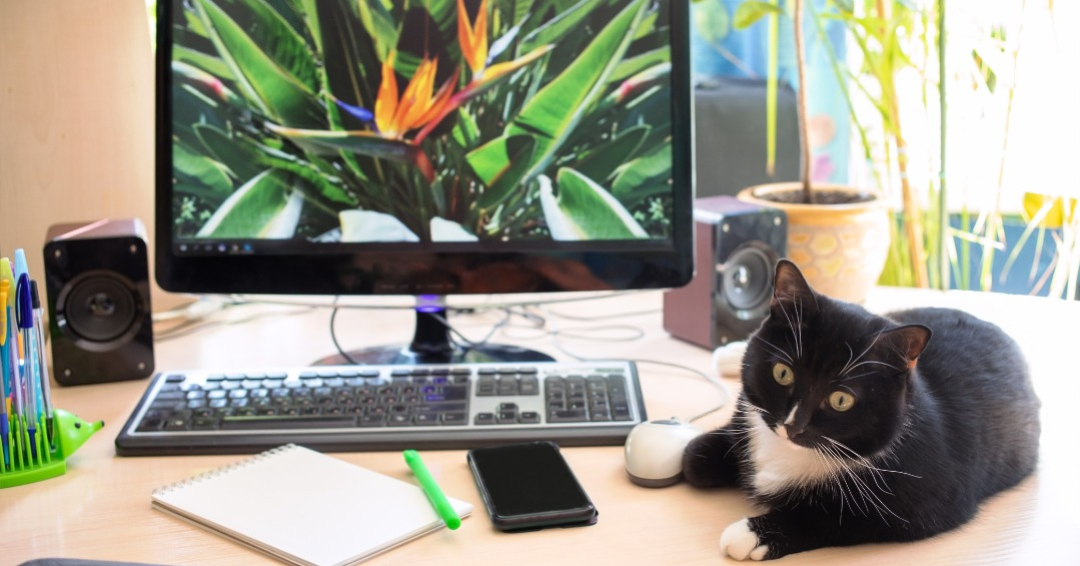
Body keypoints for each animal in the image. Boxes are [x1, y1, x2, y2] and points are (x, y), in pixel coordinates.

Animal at [682, 261, 1036, 561]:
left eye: (841, 400)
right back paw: (729, 352)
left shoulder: (930, 497)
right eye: (783, 373)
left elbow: (836, 517)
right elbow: (691, 457)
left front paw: (753, 534)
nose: (792, 426)